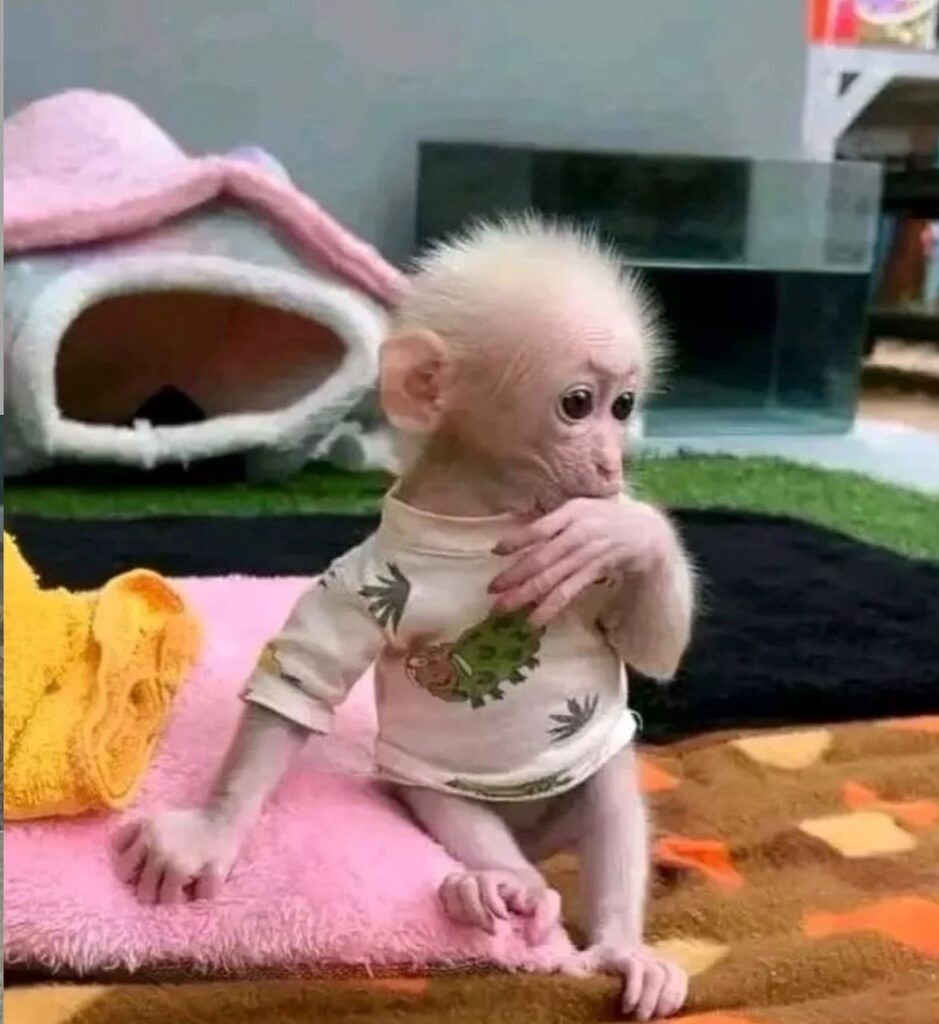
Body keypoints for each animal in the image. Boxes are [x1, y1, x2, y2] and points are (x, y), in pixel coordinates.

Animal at [112, 218, 695, 1021]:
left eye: (625, 404)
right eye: (579, 404)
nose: (611, 465)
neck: (482, 515)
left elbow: (651, 649)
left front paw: (628, 530)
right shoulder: (364, 579)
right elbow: (298, 685)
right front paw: (212, 829)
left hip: (580, 778)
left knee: (610, 795)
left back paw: (616, 948)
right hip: (439, 791)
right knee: (462, 820)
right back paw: (499, 886)